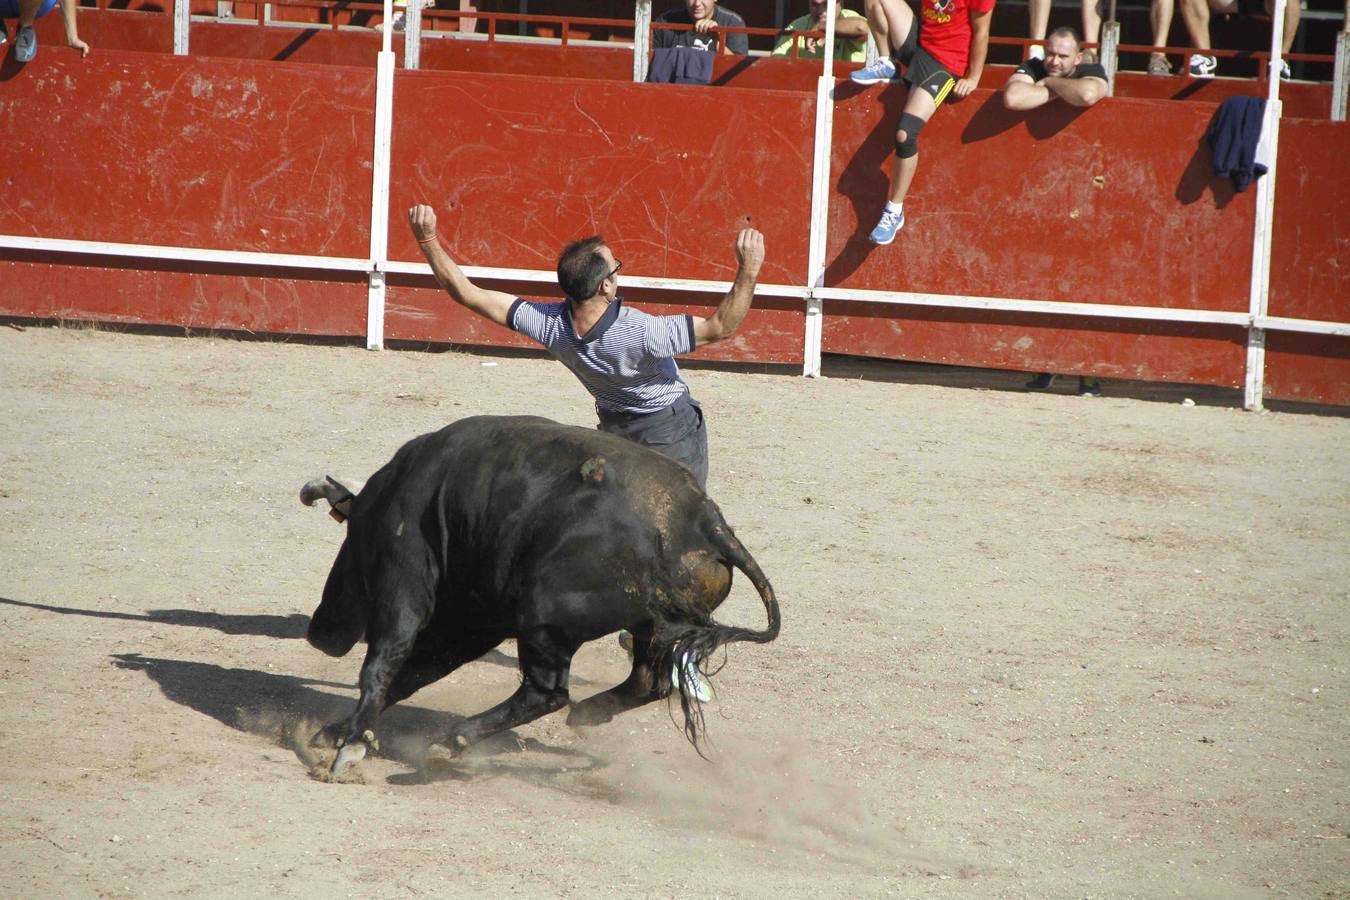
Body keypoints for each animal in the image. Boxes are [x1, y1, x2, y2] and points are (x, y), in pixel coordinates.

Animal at [298, 415, 781, 777]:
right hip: (648, 626)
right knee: (646, 681)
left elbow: (384, 666)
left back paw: (454, 739)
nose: (318, 633)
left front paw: (350, 745)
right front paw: (337, 732)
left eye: (348, 546)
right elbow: (414, 673)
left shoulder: (405, 584)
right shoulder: (476, 621)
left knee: (547, 693)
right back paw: (587, 713)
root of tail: (705, 520)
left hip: (543, 621)